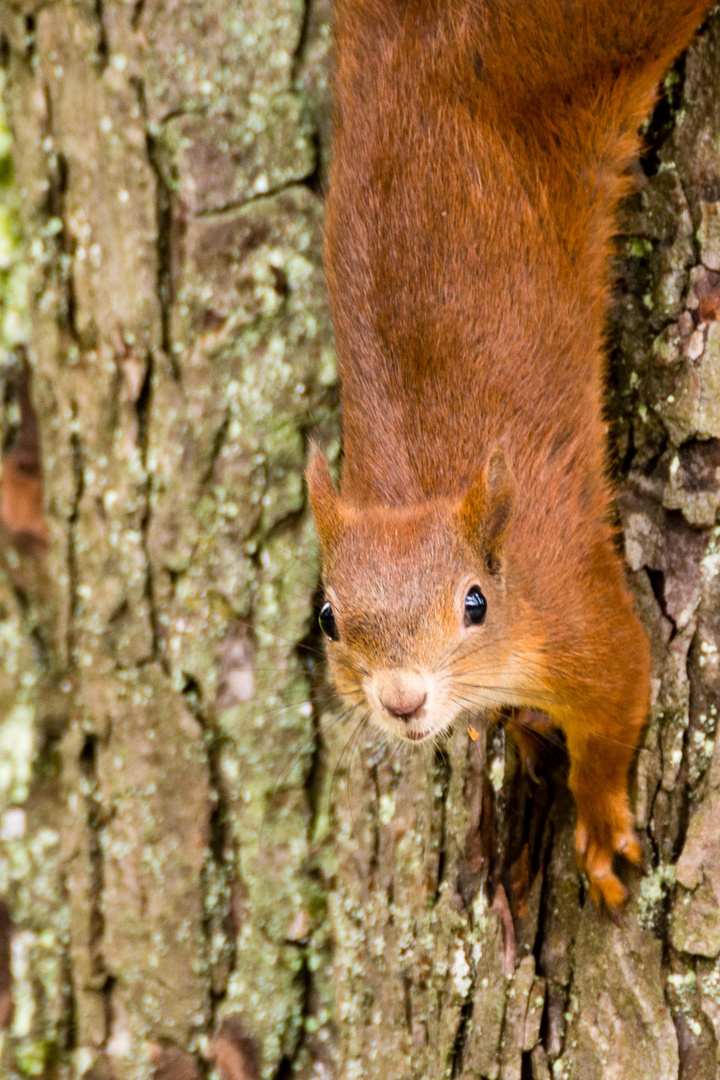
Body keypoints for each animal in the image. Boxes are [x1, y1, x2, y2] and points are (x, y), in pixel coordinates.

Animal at [308, 2, 708, 911]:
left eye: (476, 603)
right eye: (328, 618)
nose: (403, 700)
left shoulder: (580, 614)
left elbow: (621, 700)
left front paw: (599, 822)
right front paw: (522, 735)